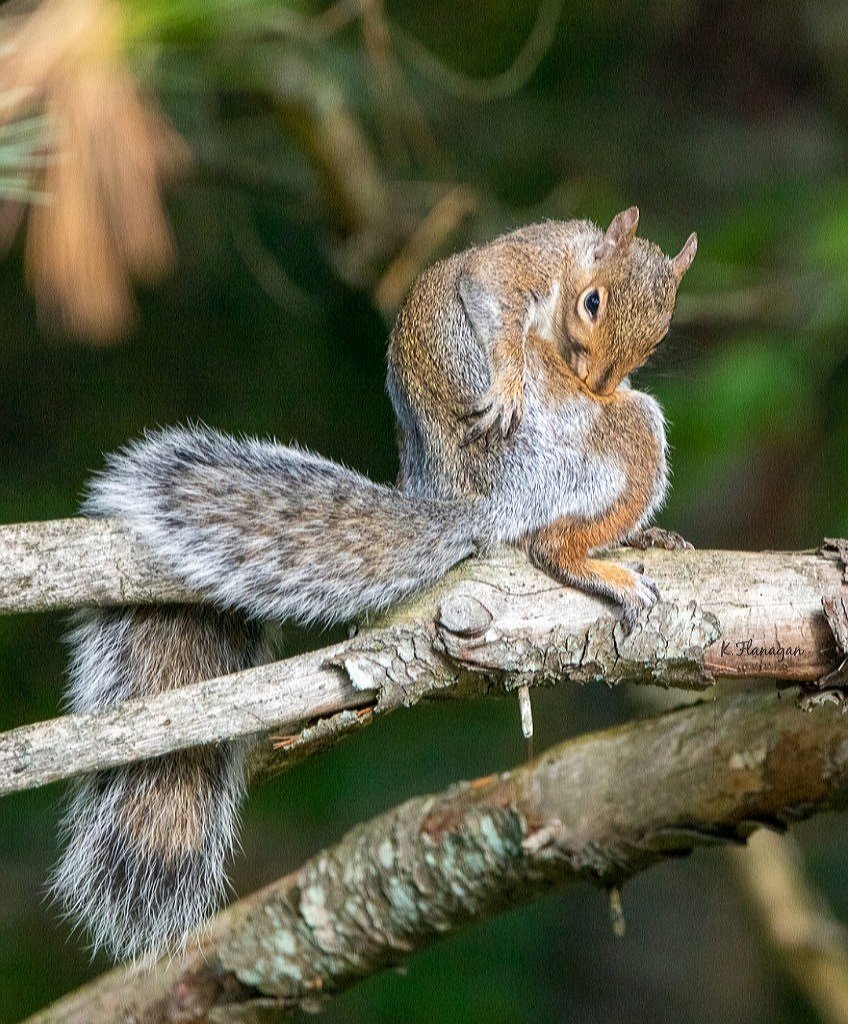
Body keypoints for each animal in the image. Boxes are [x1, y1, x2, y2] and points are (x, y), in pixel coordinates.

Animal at [51, 207, 696, 962]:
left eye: (662, 329)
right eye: (593, 302)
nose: (596, 381)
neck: (573, 260)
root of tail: (477, 502)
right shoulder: (525, 272)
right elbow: (492, 293)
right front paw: (511, 372)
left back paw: (639, 537)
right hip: (594, 440)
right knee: (548, 540)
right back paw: (600, 562)